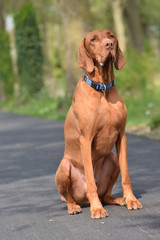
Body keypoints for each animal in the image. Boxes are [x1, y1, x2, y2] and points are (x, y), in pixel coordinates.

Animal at [55, 29, 142, 218]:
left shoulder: (121, 135)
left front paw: (131, 199)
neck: (103, 89)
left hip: (112, 158)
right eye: (93, 40)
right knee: (70, 197)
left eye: (111, 36)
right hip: (64, 166)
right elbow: (90, 180)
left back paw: (119, 199)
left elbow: (126, 175)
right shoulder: (85, 139)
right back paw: (75, 206)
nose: (109, 44)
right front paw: (97, 209)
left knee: (106, 195)